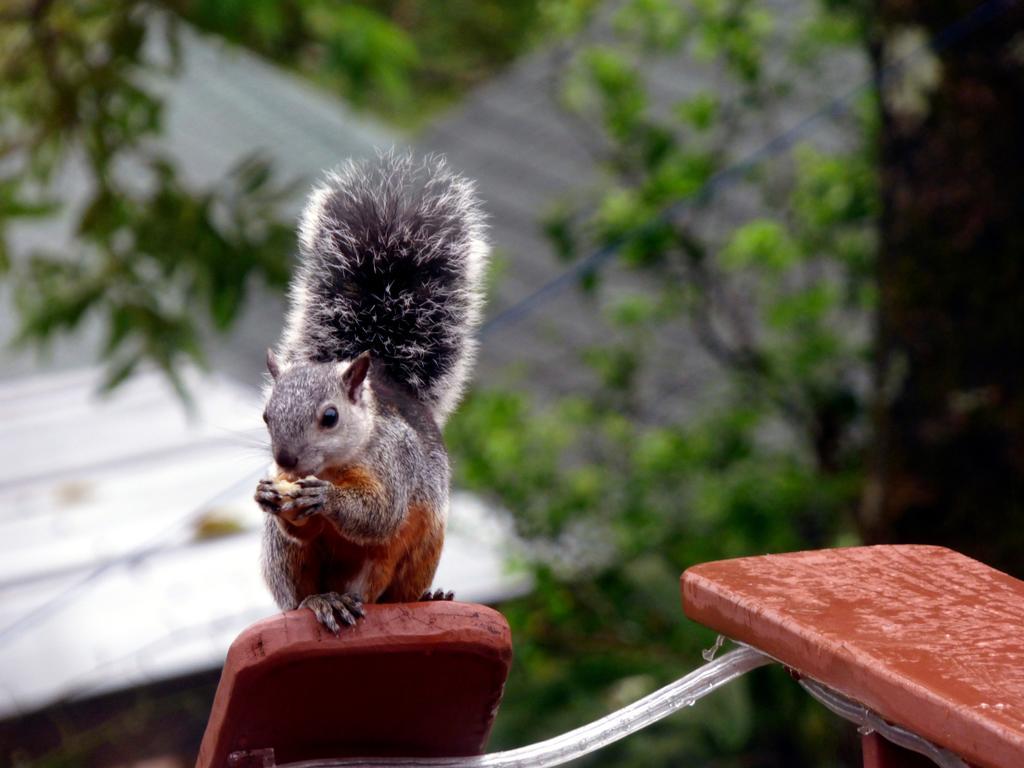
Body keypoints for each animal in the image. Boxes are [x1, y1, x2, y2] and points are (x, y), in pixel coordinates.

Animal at [250, 153, 483, 634]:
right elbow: (299, 527)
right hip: (286, 562)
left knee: (383, 589)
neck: (337, 464)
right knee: (298, 594)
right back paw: (322, 601)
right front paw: (268, 494)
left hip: (408, 556)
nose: (285, 461)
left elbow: (378, 514)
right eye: (266, 416)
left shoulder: (397, 466)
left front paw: (325, 498)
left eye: (331, 417)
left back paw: (425, 596)